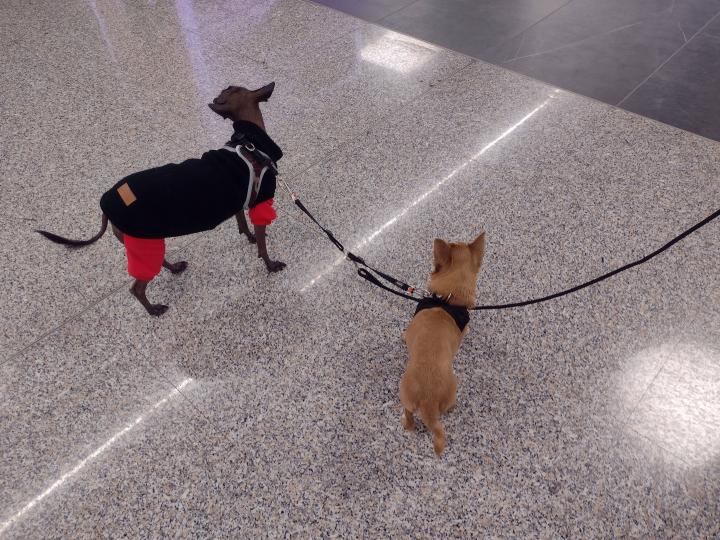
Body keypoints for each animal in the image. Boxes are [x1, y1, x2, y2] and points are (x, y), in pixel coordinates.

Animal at [37, 83, 286, 316]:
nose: (220, 92)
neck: (249, 144)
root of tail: (106, 206)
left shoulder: (238, 202)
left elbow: (242, 224)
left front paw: (249, 237)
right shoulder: (260, 206)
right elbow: (263, 246)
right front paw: (270, 265)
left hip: (147, 241)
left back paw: (174, 268)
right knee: (137, 288)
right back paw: (153, 309)